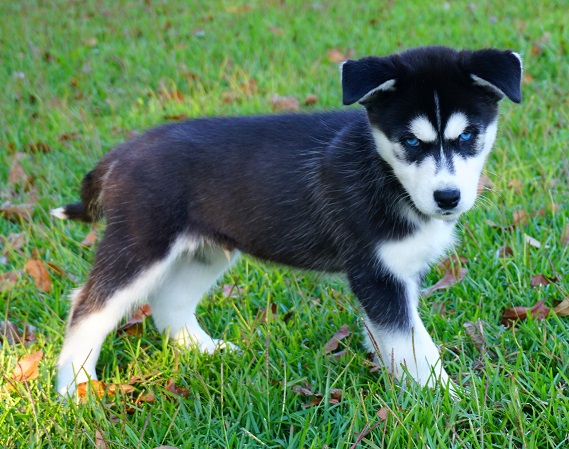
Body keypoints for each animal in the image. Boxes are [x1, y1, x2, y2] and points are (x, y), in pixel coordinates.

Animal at [53, 46, 520, 396]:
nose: (448, 198)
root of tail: (122, 152)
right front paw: (444, 401)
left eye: (468, 135)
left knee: (170, 301)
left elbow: (402, 342)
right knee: (87, 306)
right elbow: (412, 346)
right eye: (410, 141)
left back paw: (206, 351)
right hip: (141, 245)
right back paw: (75, 390)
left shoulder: (399, 275)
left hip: (207, 251)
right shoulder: (376, 274)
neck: (386, 173)